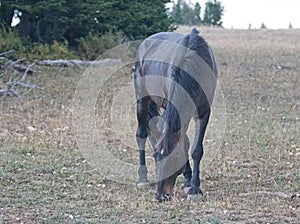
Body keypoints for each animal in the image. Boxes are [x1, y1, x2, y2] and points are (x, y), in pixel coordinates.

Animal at [135, 27, 217, 201]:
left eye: (176, 159)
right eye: (156, 156)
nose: (160, 196)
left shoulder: (203, 112)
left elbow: (195, 149)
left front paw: (193, 188)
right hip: (142, 98)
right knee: (141, 134)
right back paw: (142, 179)